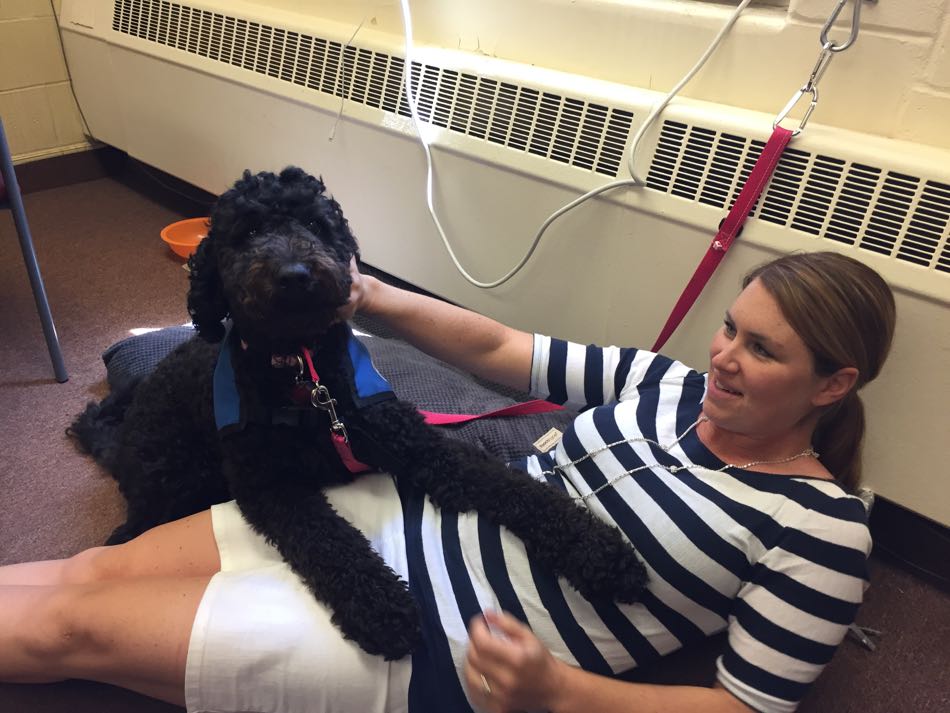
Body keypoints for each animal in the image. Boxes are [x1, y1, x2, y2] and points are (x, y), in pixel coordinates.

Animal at [72, 165, 648, 656]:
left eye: (313, 223)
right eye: (248, 233)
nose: (295, 273)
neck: (302, 376)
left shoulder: (414, 441)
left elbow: (506, 483)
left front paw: (598, 551)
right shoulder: (271, 488)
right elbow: (331, 544)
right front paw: (384, 607)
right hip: (172, 482)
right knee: (131, 531)